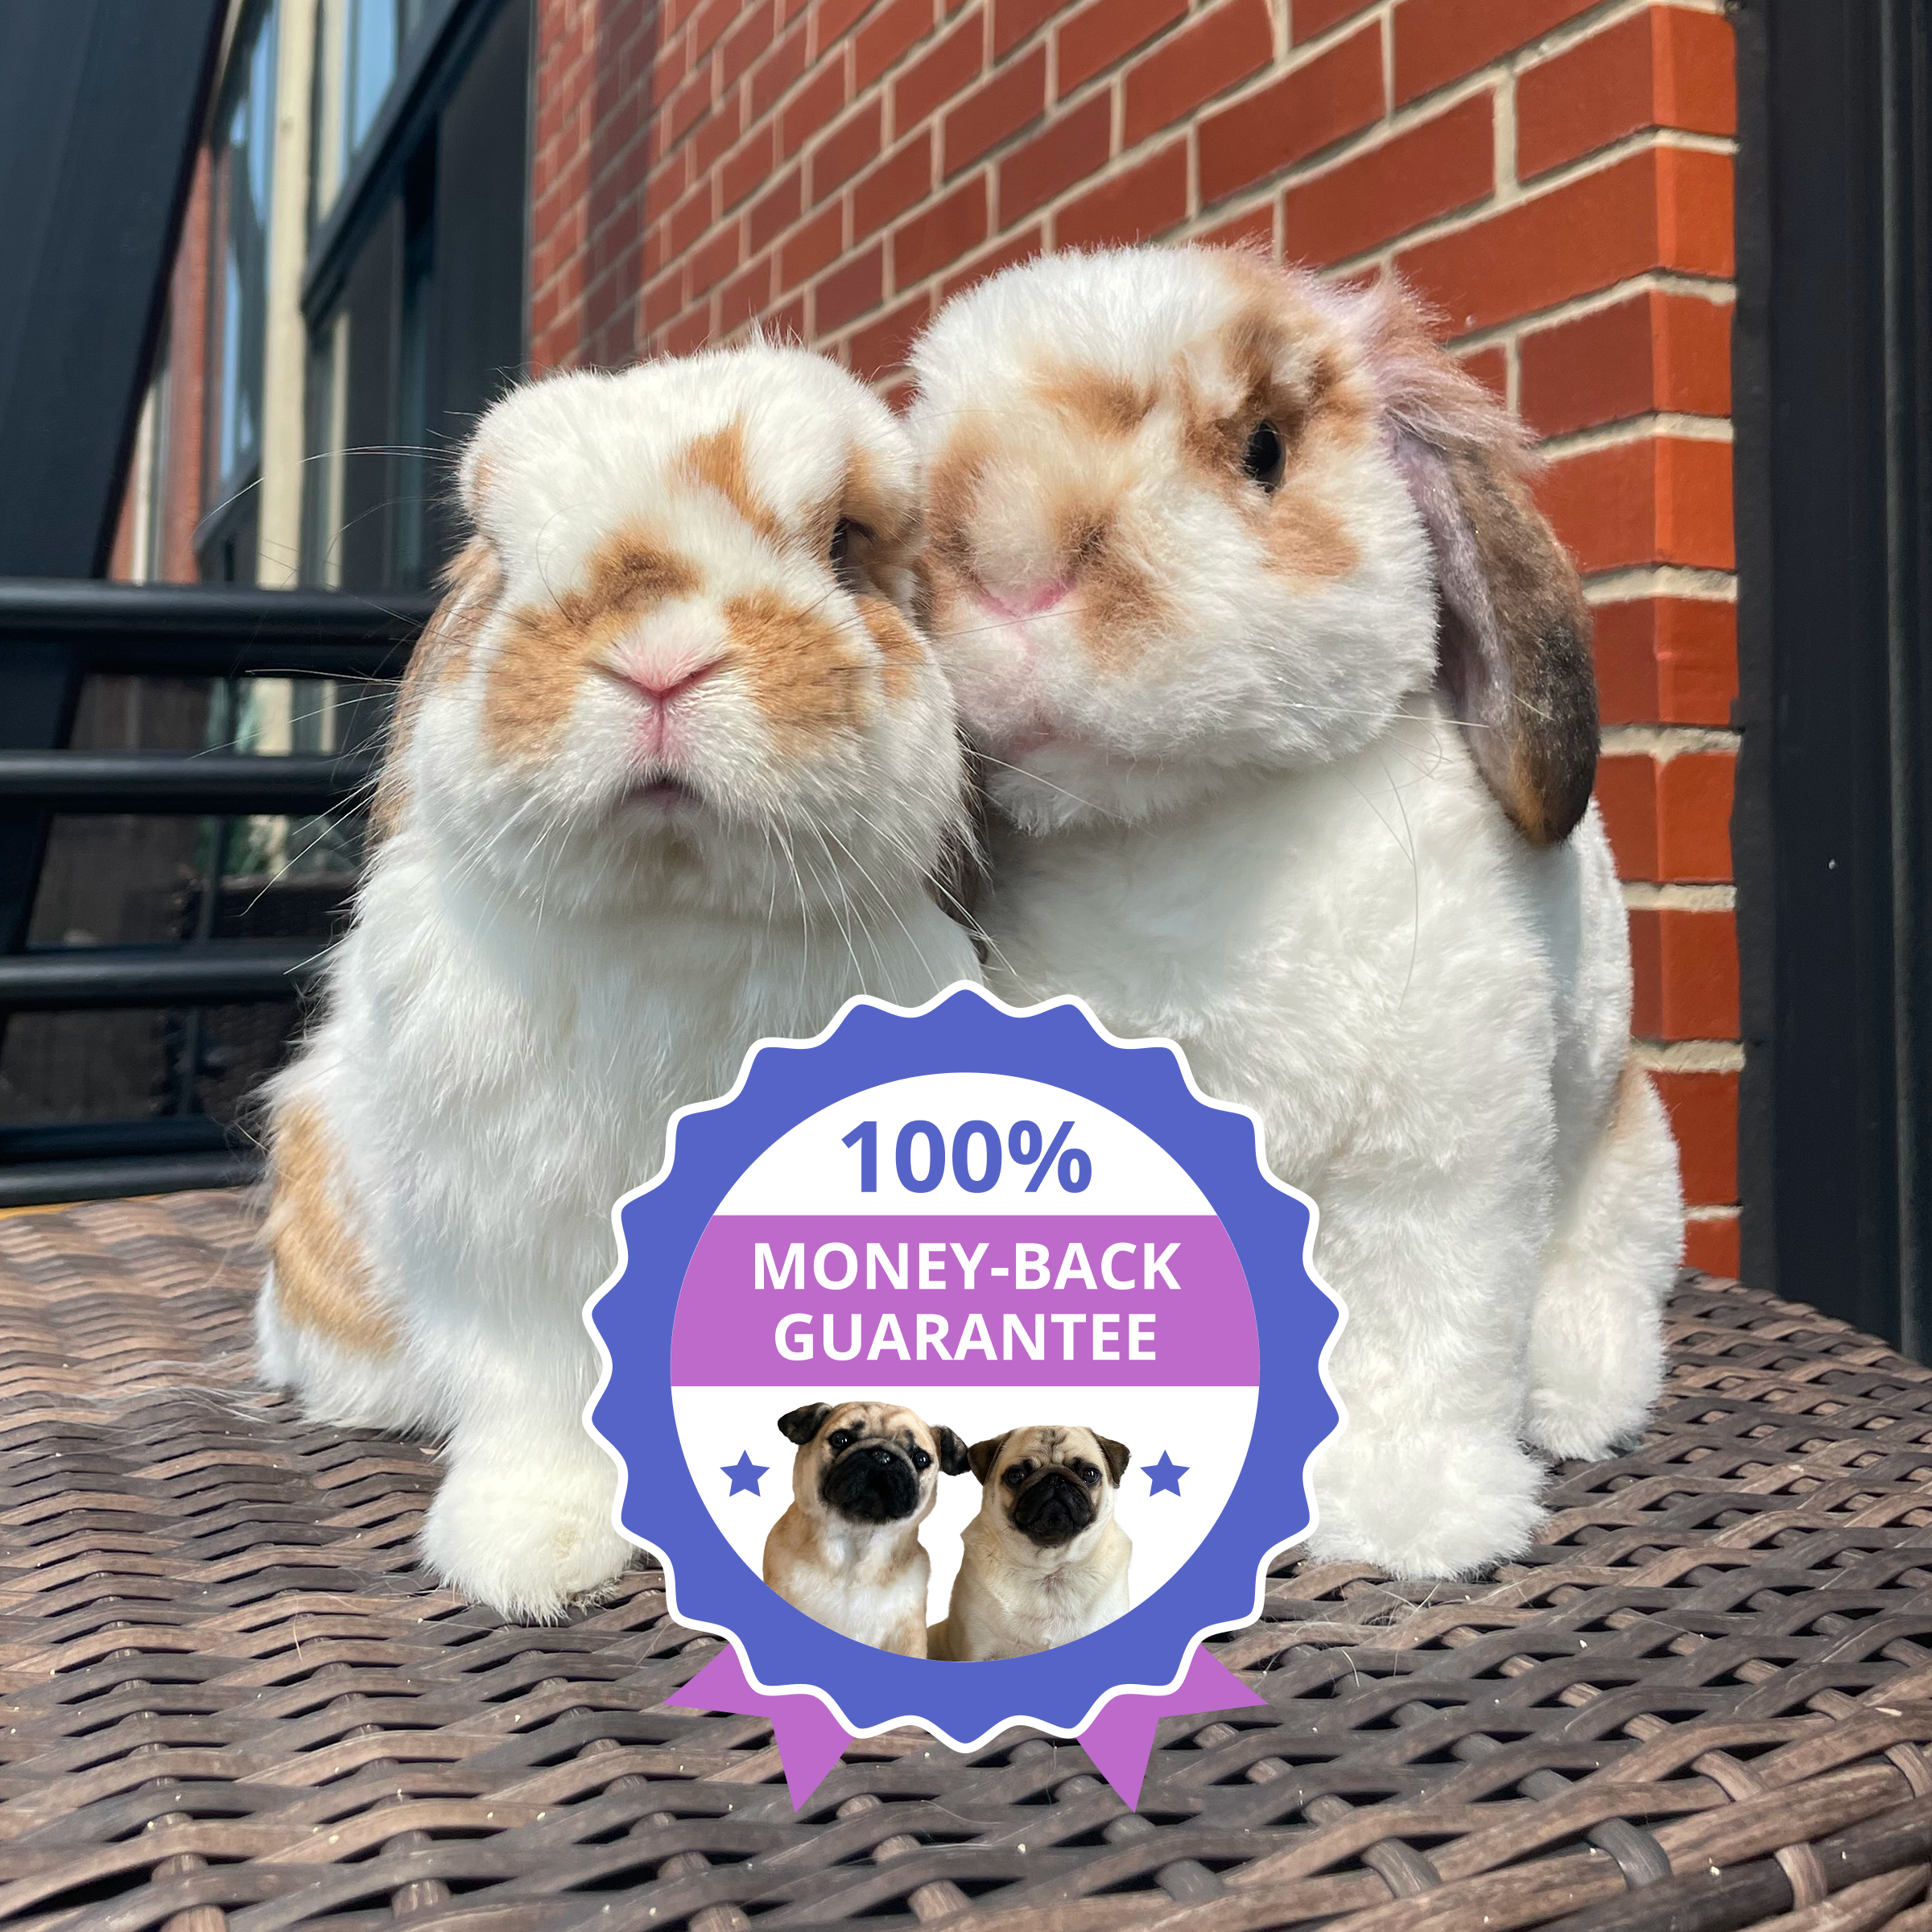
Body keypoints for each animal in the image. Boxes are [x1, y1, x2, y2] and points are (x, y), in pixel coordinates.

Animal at [256, 343, 982, 1621]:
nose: (658, 661)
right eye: (499, 549)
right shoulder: (517, 1242)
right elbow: (539, 1397)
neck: (669, 910)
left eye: (847, 542)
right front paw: (525, 1559)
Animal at [904, 246, 1683, 1580]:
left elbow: (1418, 1346)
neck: (1178, 827)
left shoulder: (1432, 1170)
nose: (1008, 566)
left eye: (1264, 448)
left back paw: (1579, 1399)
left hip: (1627, 1165)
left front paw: (1415, 1525)